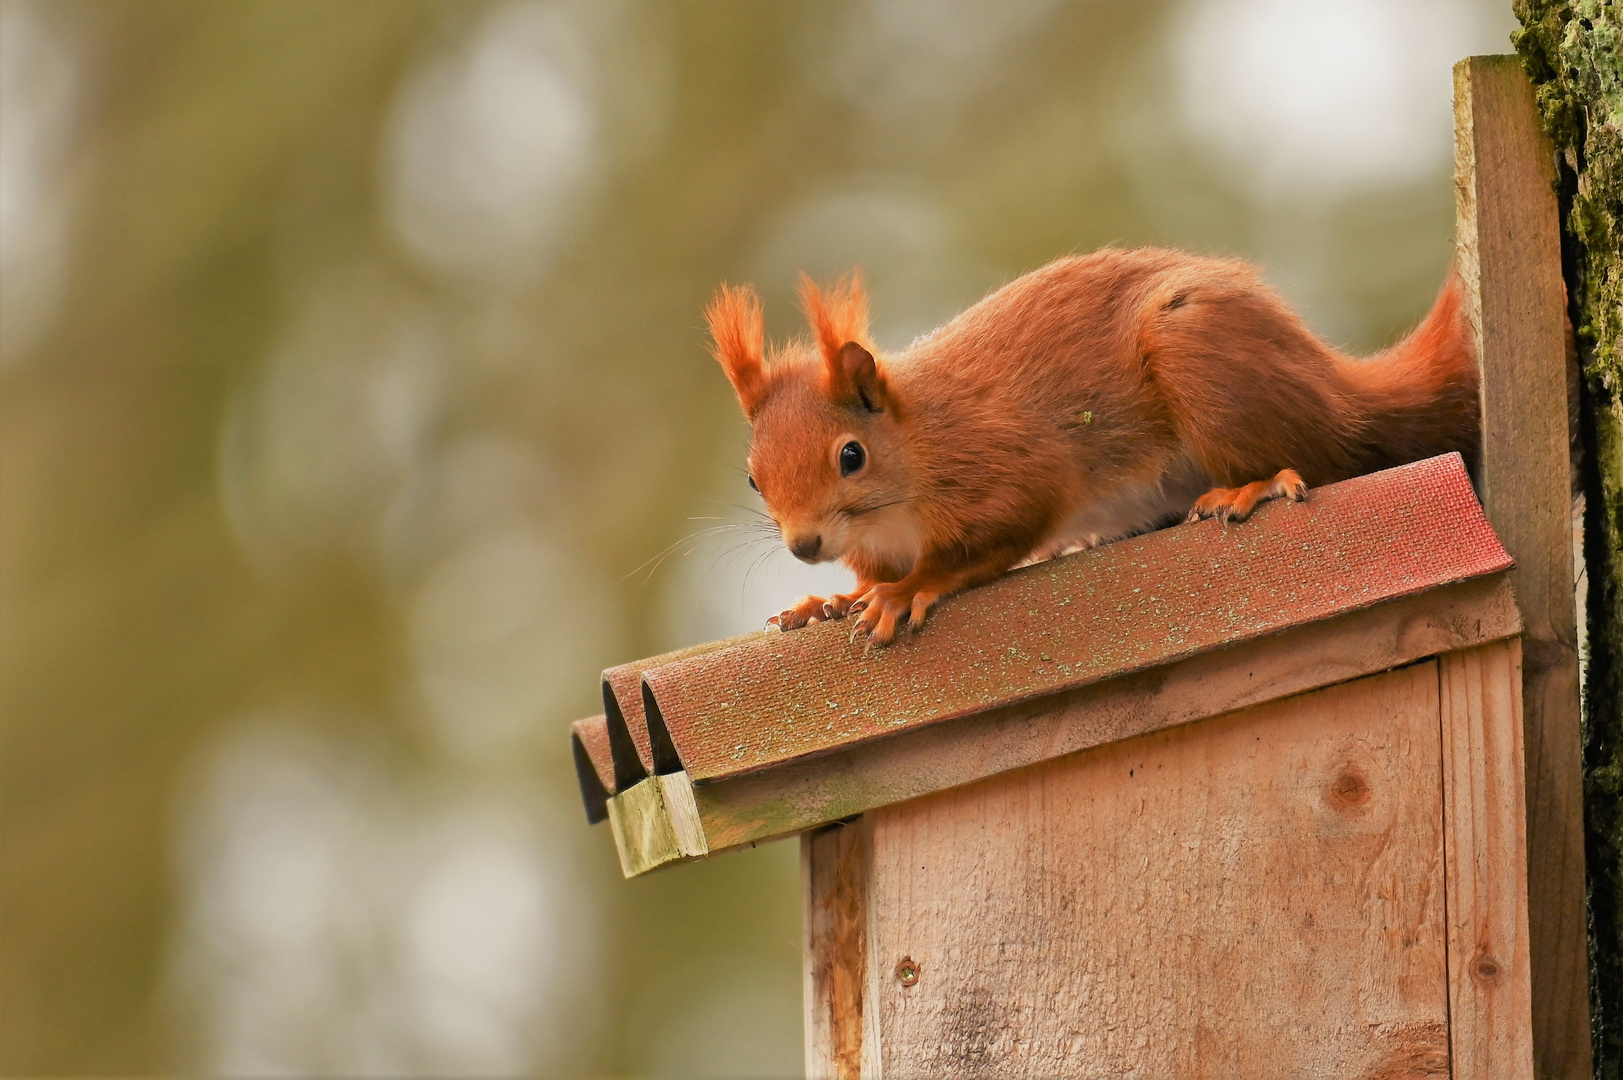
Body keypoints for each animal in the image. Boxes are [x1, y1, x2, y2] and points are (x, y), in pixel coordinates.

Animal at [704, 246, 1480, 639]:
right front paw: (826, 601)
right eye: (751, 478)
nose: (804, 546)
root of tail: (1340, 388)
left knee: (1321, 458)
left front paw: (905, 590)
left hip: (1204, 358)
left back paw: (1252, 487)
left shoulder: (1004, 470)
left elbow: (990, 540)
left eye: (851, 456)